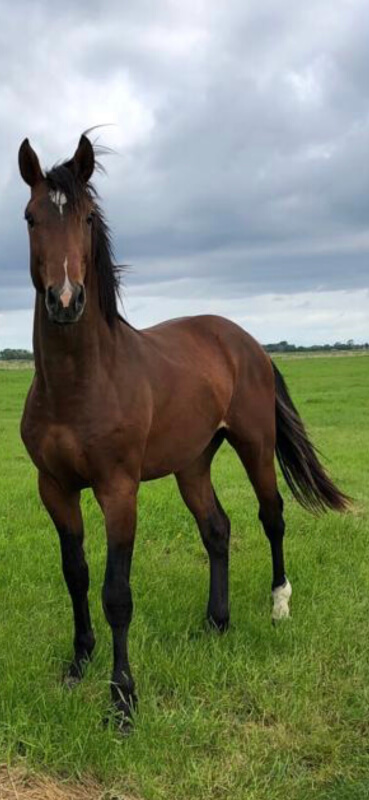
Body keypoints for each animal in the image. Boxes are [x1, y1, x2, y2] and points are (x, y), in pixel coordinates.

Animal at [18, 134, 348, 728]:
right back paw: (216, 621)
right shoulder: (53, 487)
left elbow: (116, 592)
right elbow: (76, 574)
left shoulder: (118, 490)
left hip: (255, 446)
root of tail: (245, 340)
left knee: (272, 516)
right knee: (216, 529)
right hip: (193, 463)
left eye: (85, 217)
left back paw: (279, 604)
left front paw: (123, 700)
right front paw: (78, 664)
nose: (65, 300)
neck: (79, 384)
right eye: (32, 217)